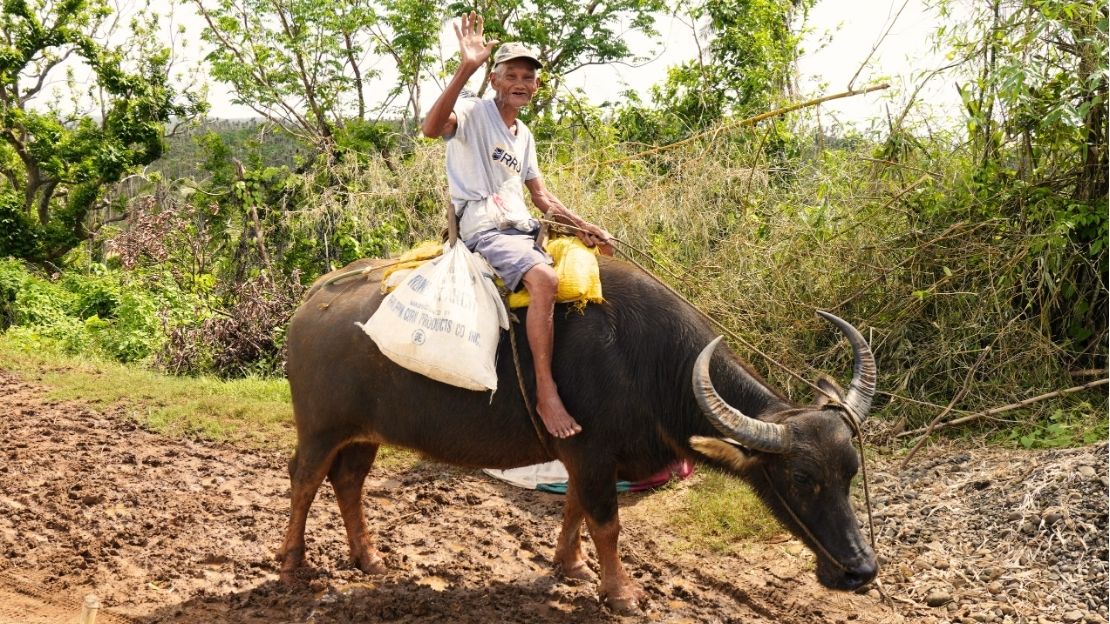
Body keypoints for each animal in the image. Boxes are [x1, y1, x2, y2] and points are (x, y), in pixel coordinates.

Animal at [277, 255, 879, 612]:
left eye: (850, 472)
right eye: (800, 478)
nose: (860, 570)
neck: (648, 363)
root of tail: (310, 304)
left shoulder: (584, 458)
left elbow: (576, 511)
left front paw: (569, 566)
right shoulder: (591, 455)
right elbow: (607, 524)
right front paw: (622, 593)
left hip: (364, 434)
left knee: (348, 483)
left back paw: (369, 559)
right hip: (321, 428)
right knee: (304, 479)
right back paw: (291, 564)